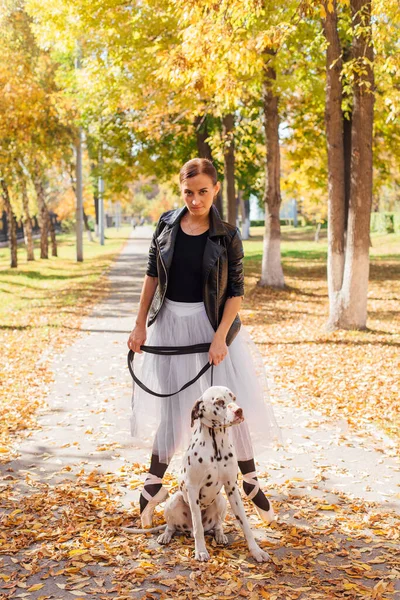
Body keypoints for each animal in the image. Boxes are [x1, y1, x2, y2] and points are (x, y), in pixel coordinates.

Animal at [122, 386, 268, 564]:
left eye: (233, 398)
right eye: (220, 402)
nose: (239, 410)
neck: (216, 445)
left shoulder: (232, 489)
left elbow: (245, 523)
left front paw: (256, 551)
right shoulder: (192, 489)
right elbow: (197, 525)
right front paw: (201, 551)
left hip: (220, 500)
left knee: (217, 525)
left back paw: (220, 535)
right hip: (175, 500)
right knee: (173, 526)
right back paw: (165, 536)